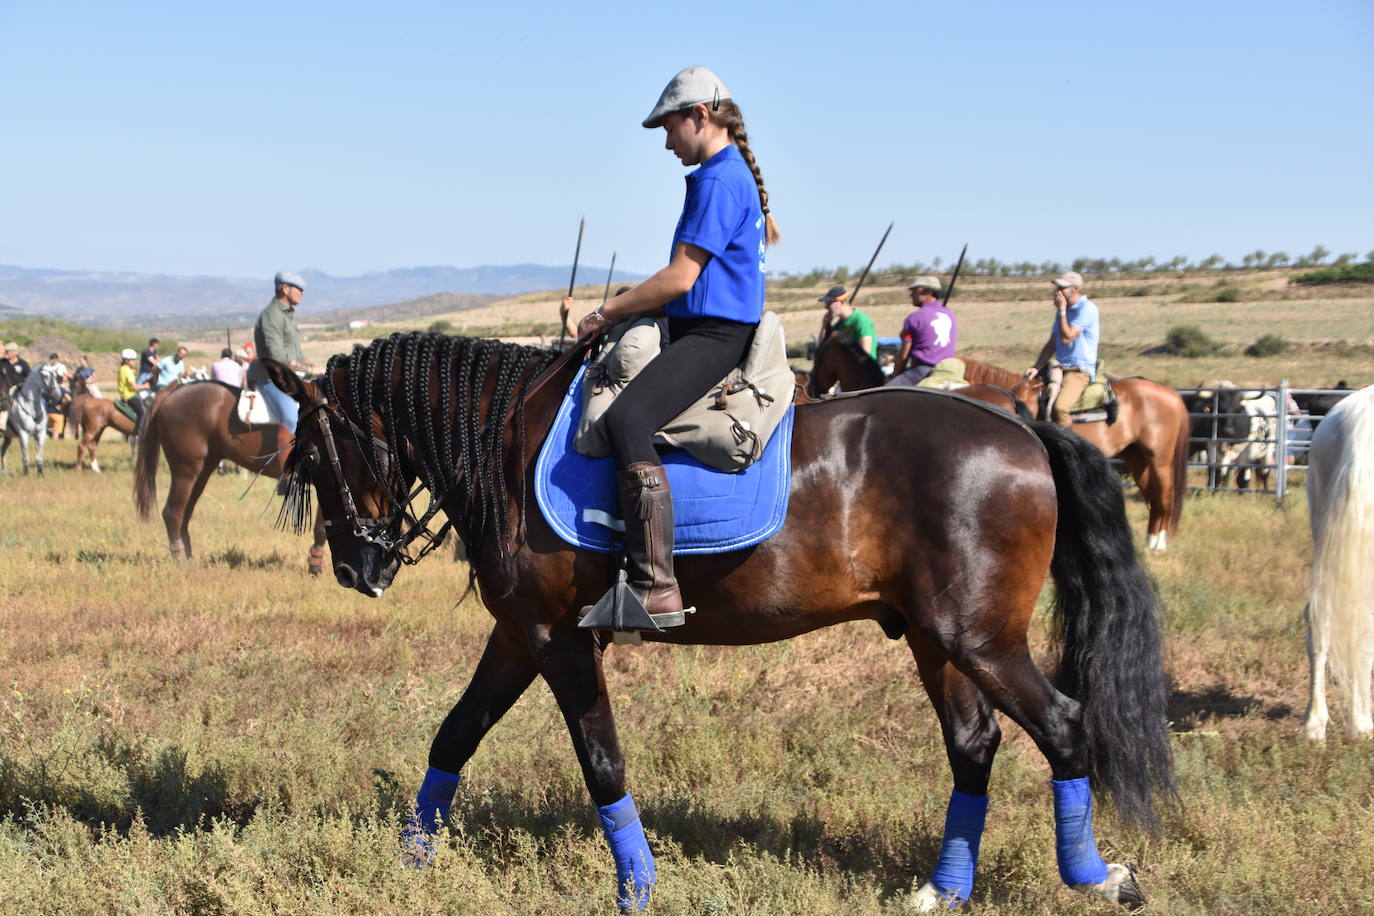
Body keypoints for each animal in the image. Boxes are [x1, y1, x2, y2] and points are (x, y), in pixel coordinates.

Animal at [133, 376, 327, 568]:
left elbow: (322, 527)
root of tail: (174, 392)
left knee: (185, 513)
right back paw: (180, 559)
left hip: (202, 471)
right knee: (172, 512)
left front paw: (315, 563)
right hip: (185, 470)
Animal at [956, 362, 1192, 554]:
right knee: (1154, 498)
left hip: (1160, 460)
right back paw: (1149, 541)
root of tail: (1172, 394)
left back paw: (1158, 544)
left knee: (1164, 497)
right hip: (1138, 460)